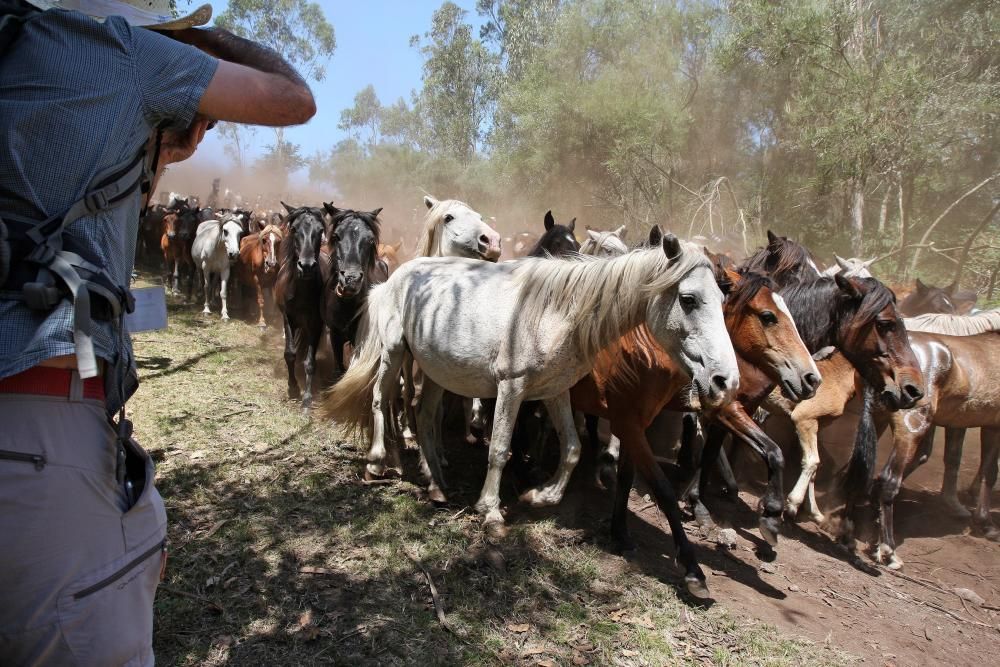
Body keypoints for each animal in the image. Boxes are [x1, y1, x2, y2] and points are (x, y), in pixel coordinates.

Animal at [324, 235, 740, 532]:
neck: (558, 314)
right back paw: (377, 463)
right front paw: (490, 511)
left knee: (425, 417)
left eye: (723, 298)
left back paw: (436, 482)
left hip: (437, 370)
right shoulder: (512, 388)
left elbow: (572, 448)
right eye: (688, 299)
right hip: (394, 353)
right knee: (380, 401)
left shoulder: (555, 392)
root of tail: (395, 277)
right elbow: (499, 449)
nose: (726, 380)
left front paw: (540, 496)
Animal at [572, 268, 820, 596]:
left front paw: (771, 518)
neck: (650, 347)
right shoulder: (630, 423)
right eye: (768, 316)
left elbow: (772, 451)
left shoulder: (662, 418)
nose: (811, 379)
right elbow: (663, 489)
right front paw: (693, 568)